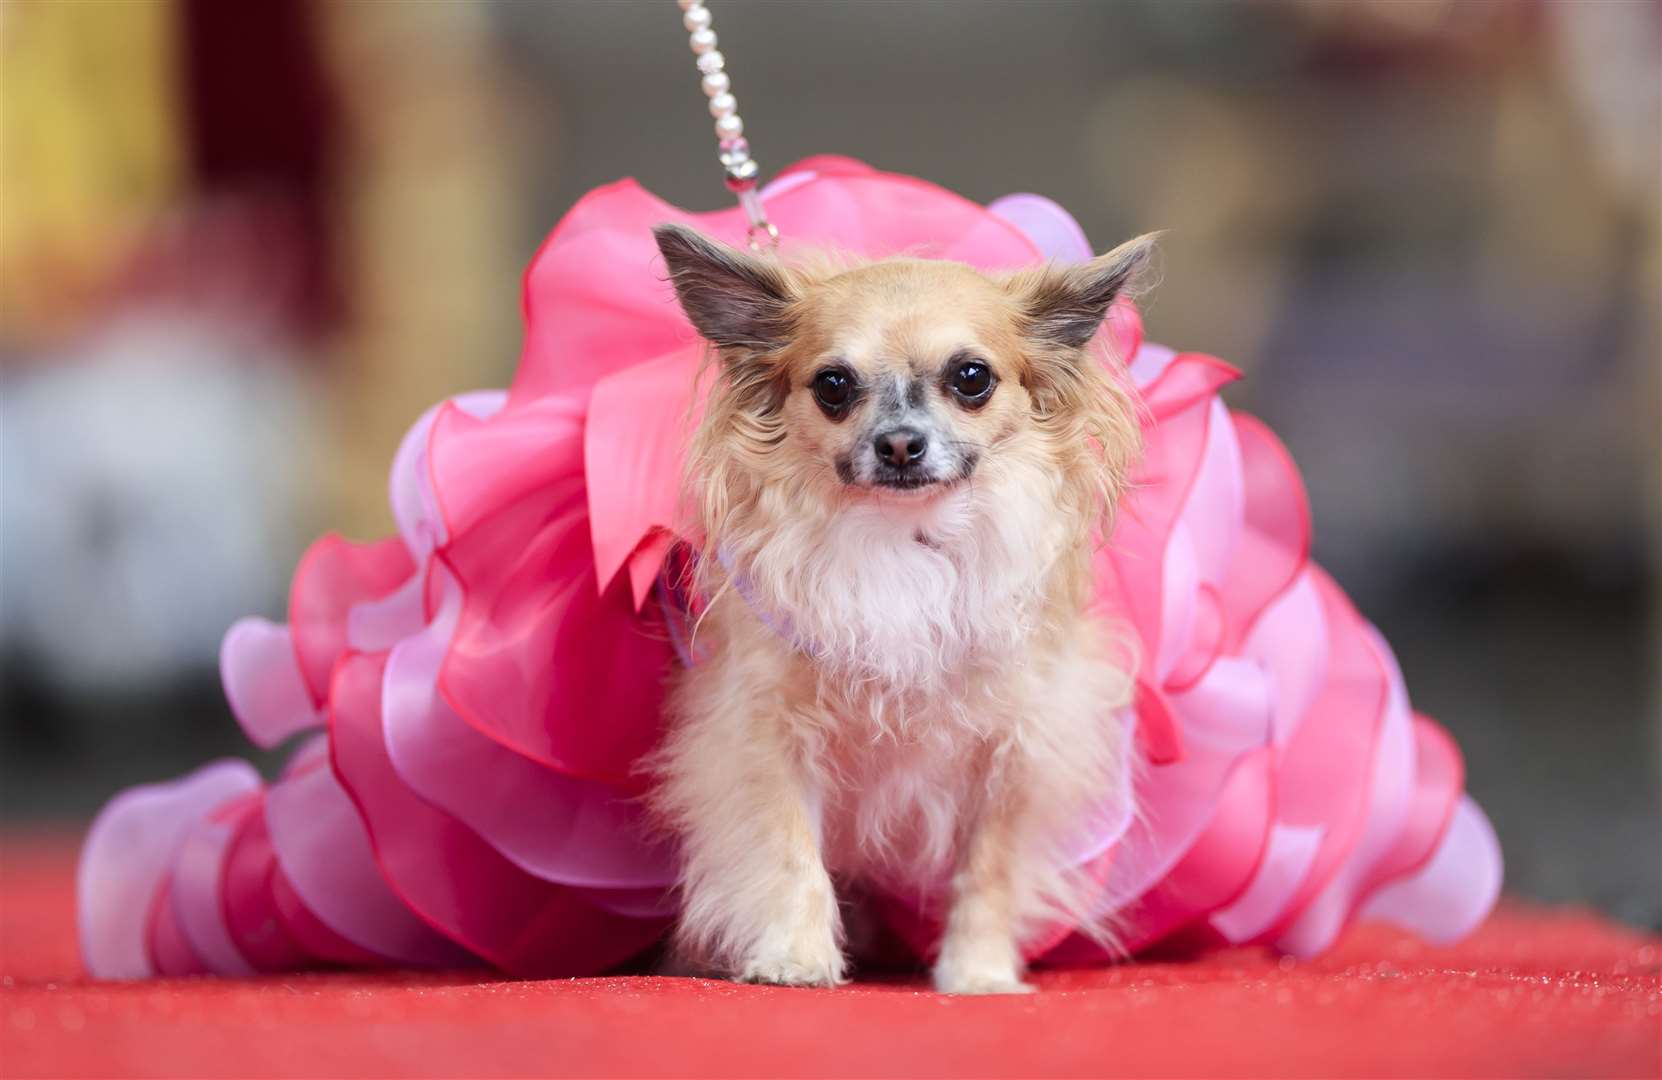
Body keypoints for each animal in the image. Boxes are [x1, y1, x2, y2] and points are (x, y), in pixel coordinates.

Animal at [648, 224, 1156, 990]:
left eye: (972, 378)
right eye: (833, 386)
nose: (898, 442)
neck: (905, 542)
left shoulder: (1016, 748)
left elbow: (989, 871)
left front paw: (978, 972)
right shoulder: (763, 733)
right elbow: (789, 853)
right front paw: (796, 956)